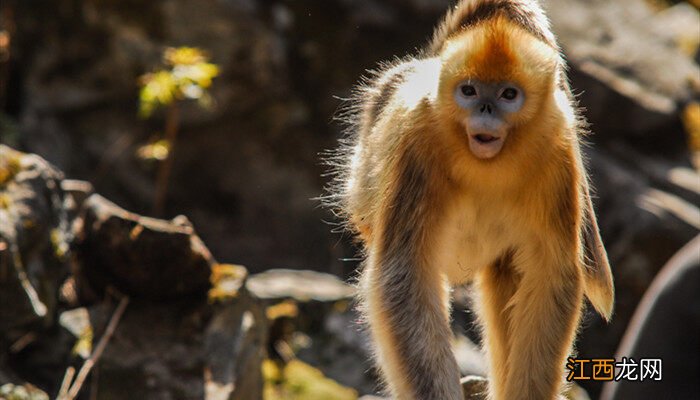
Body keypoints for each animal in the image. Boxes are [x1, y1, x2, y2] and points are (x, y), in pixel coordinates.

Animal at [326, 0, 616, 400]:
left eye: (508, 95)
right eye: (469, 91)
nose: (485, 110)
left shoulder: (558, 154)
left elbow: (552, 276)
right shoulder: (419, 143)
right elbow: (404, 277)